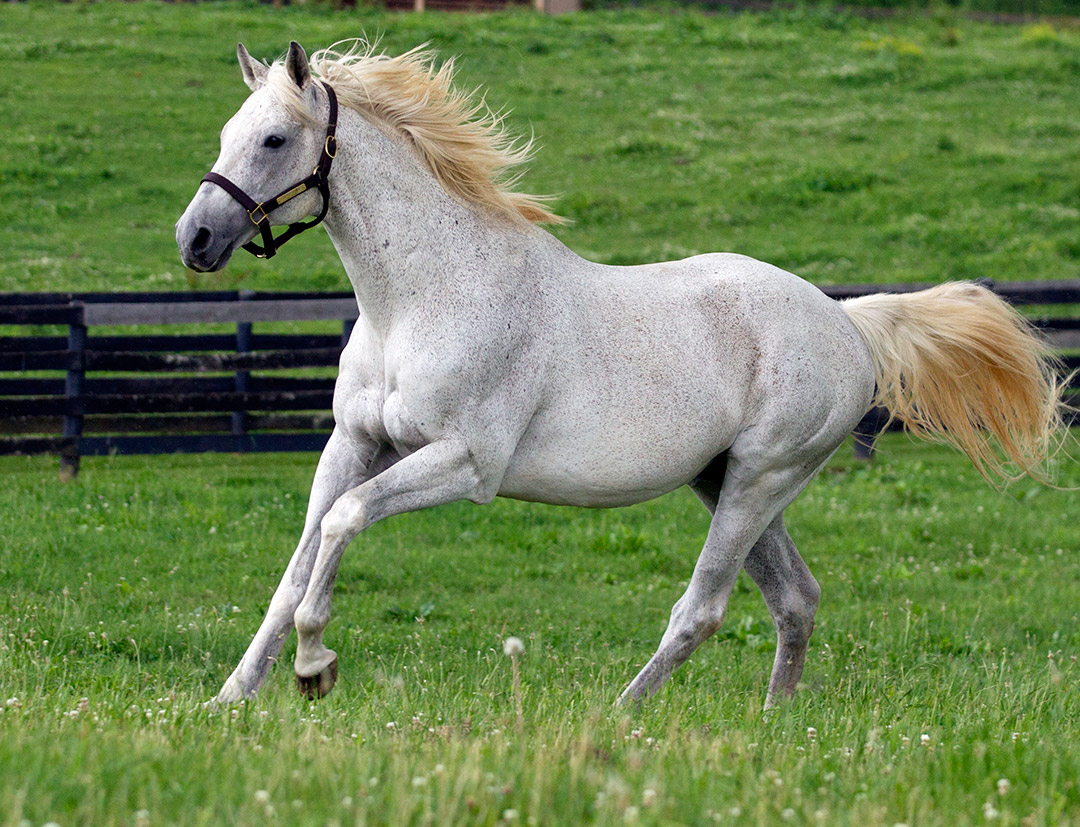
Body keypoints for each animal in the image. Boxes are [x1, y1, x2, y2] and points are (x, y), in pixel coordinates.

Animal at [174, 42, 1062, 708]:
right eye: (226, 132)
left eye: (274, 140)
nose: (196, 239)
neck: (421, 301)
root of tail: (846, 320)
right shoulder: (353, 445)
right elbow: (297, 565)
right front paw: (232, 696)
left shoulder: (466, 464)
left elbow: (345, 521)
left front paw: (314, 668)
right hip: (726, 478)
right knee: (796, 598)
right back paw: (774, 720)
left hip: (759, 479)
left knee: (703, 607)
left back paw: (622, 713)